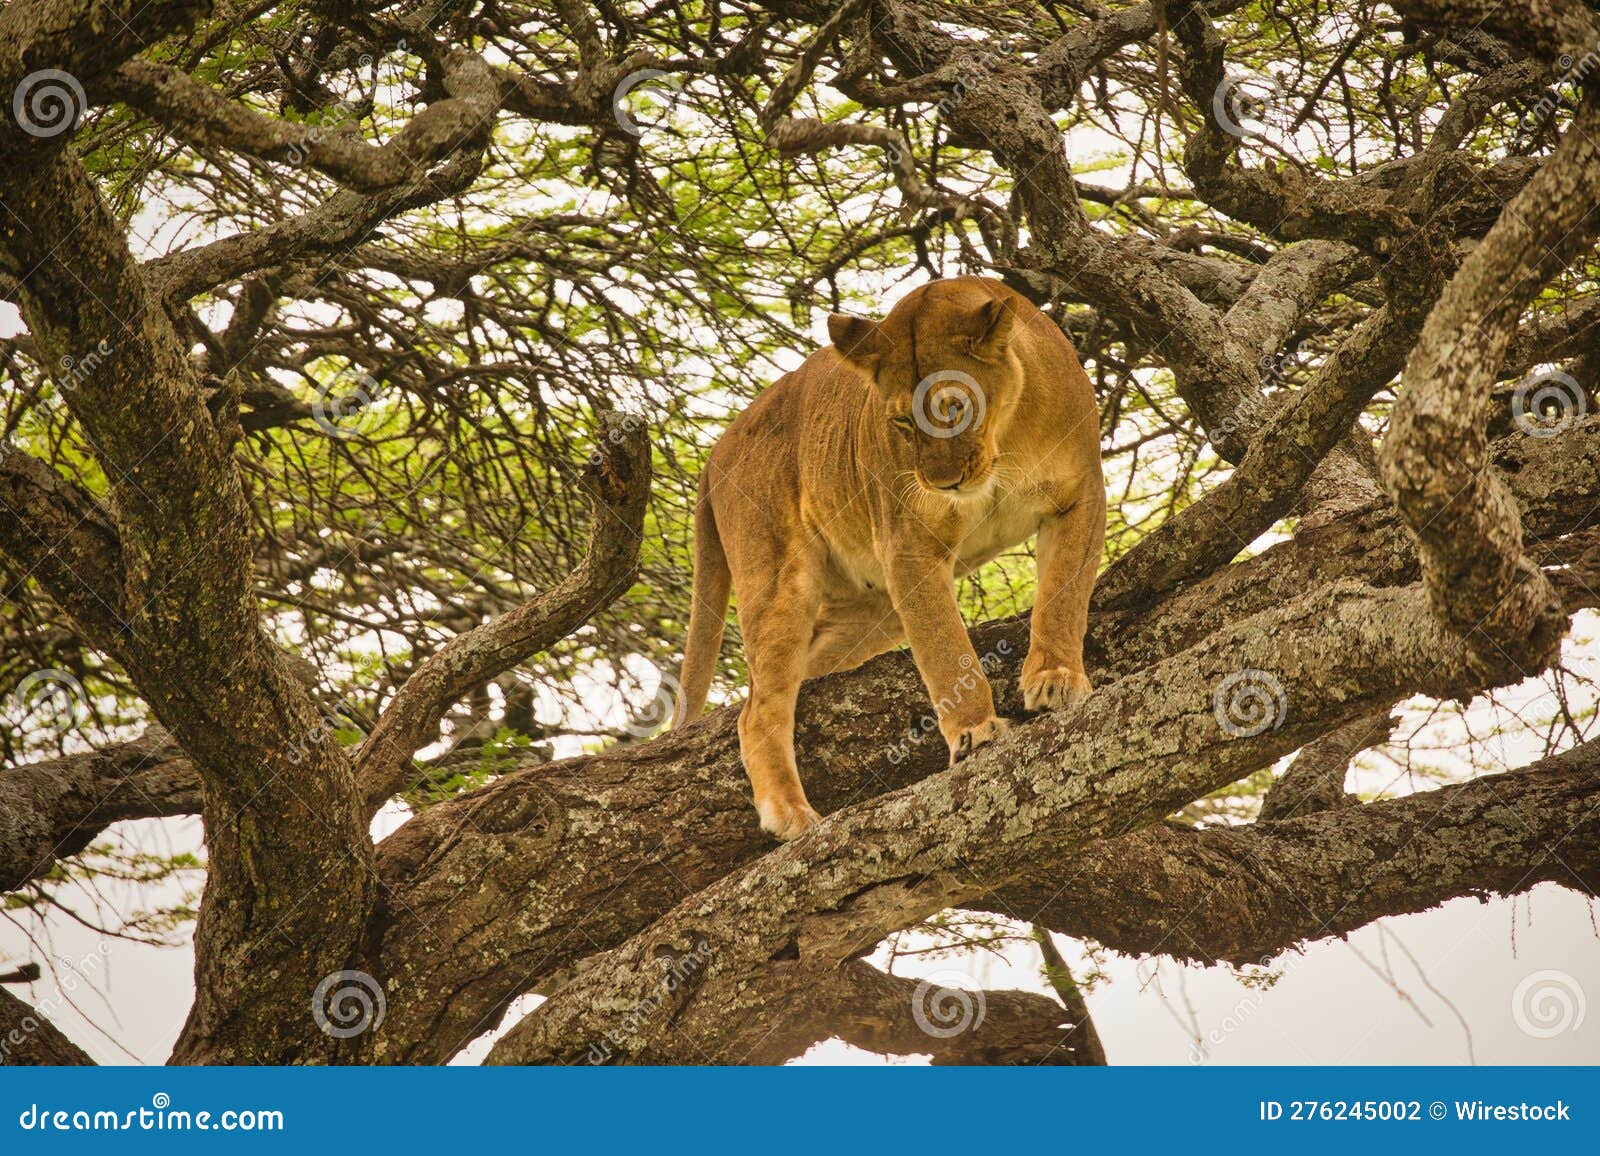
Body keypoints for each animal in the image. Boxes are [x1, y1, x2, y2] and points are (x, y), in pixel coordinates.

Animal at [670, 275, 1106, 839]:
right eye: (901, 421)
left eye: (955, 408)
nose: (944, 483)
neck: (1002, 444)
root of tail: (714, 452)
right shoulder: (909, 546)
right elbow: (946, 649)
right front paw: (975, 734)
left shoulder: (1080, 497)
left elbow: (1063, 596)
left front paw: (1055, 679)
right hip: (781, 579)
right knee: (757, 710)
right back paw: (790, 813)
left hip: (868, 613)